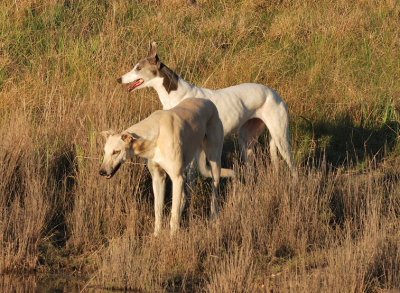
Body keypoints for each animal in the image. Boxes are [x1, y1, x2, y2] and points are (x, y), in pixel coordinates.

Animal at [99, 98, 234, 235]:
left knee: (214, 194)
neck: (155, 134)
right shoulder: (158, 177)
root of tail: (207, 101)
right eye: (105, 151)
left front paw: (173, 237)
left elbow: (173, 215)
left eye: (116, 151)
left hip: (214, 162)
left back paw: (214, 220)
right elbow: (158, 210)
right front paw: (157, 235)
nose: (102, 172)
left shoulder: (177, 177)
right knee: (183, 198)